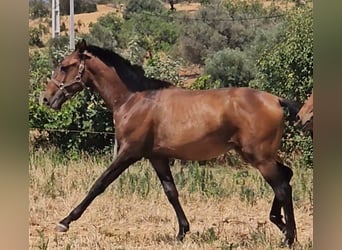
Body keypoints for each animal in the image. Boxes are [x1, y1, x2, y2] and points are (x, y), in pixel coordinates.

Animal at [40, 39, 300, 246]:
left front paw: (64, 222)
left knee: (282, 187)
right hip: (260, 155)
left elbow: (99, 184)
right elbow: (171, 192)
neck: (134, 99)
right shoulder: (157, 157)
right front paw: (182, 232)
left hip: (259, 157)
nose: (46, 98)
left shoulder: (129, 153)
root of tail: (276, 100)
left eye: (64, 66)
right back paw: (280, 224)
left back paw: (288, 237)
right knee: (287, 175)